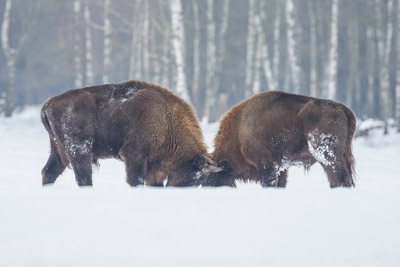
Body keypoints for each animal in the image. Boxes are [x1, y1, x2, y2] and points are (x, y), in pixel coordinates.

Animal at [41, 80, 222, 187]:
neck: (166, 118)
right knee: (83, 177)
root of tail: (49, 103)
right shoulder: (134, 156)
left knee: (49, 172)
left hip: (57, 150)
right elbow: (135, 180)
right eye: (194, 174)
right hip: (79, 150)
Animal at [203, 91, 356, 189]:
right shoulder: (281, 167)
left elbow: (268, 182)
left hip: (327, 155)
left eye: (209, 176)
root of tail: (342, 108)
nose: (205, 186)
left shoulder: (266, 165)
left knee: (339, 178)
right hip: (342, 155)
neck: (240, 129)